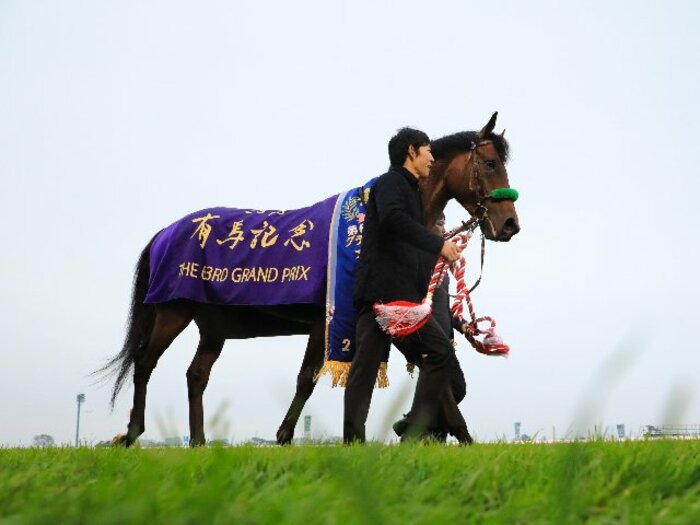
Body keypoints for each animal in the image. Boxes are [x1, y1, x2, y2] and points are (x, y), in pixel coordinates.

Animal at [104, 112, 520, 444]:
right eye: (489, 163)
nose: (510, 224)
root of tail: (164, 233)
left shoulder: (387, 317)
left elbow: (441, 378)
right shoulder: (332, 319)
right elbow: (309, 378)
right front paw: (286, 436)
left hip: (213, 325)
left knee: (196, 375)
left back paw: (200, 441)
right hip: (172, 312)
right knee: (144, 362)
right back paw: (133, 433)